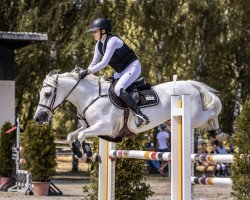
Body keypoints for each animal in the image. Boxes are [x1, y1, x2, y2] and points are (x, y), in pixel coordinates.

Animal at [34, 72, 229, 162]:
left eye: (48, 94)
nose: (38, 118)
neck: (90, 97)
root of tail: (190, 84)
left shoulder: (105, 127)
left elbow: (81, 136)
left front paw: (88, 154)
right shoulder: (89, 126)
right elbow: (71, 136)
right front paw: (81, 154)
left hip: (196, 117)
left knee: (213, 110)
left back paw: (221, 134)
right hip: (171, 122)